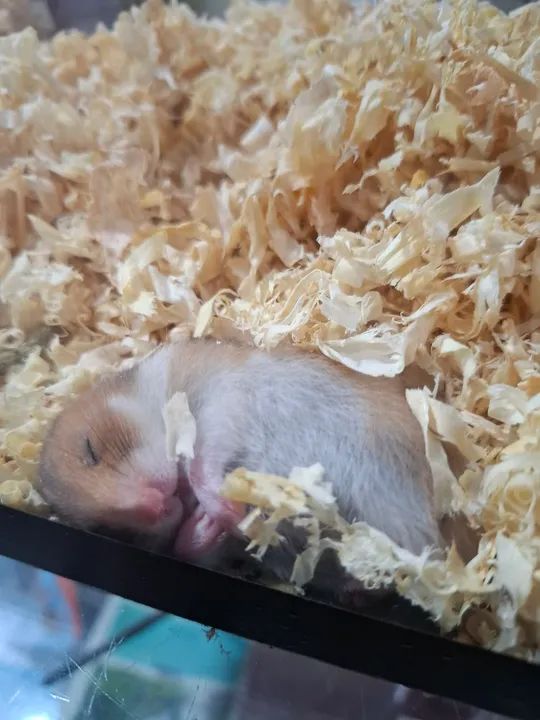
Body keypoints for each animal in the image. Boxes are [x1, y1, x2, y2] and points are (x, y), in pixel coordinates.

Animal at [38, 337, 443, 589]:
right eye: (106, 531)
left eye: (90, 449)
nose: (158, 504)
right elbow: (190, 547)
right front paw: (212, 523)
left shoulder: (224, 401)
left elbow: (204, 465)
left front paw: (227, 511)